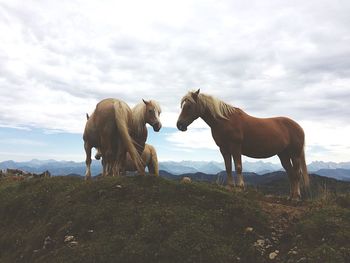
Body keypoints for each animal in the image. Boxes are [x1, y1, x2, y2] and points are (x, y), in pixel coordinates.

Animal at [178, 89, 308, 201]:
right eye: (182, 106)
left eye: (189, 106)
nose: (179, 125)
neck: (225, 121)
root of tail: (299, 127)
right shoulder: (224, 149)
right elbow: (228, 167)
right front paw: (230, 187)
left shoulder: (235, 147)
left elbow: (238, 167)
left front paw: (240, 188)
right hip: (283, 155)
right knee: (291, 174)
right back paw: (291, 196)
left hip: (295, 155)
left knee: (296, 174)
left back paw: (296, 197)